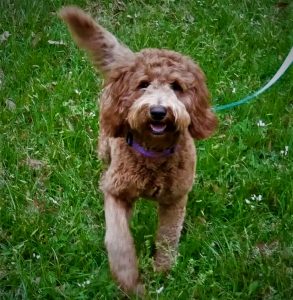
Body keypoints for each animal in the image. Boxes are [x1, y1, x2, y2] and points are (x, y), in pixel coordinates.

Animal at [59, 7, 216, 296]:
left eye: (176, 86)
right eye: (143, 84)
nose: (158, 111)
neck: (153, 154)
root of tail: (128, 59)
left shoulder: (175, 199)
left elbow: (167, 238)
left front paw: (163, 273)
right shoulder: (116, 191)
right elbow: (119, 239)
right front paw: (130, 282)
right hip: (105, 142)